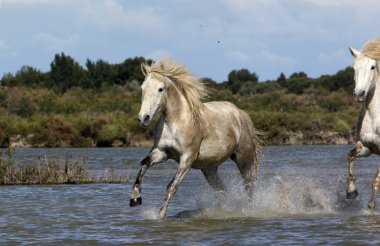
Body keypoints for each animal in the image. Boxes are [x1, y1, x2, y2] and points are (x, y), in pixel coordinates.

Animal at [129, 58, 260, 219]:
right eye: (142, 88)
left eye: (160, 89)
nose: (144, 118)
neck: (175, 122)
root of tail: (241, 114)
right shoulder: (161, 152)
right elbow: (143, 164)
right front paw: (135, 198)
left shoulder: (187, 158)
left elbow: (172, 186)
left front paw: (161, 214)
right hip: (209, 168)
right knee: (222, 190)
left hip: (242, 159)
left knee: (249, 185)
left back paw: (250, 209)